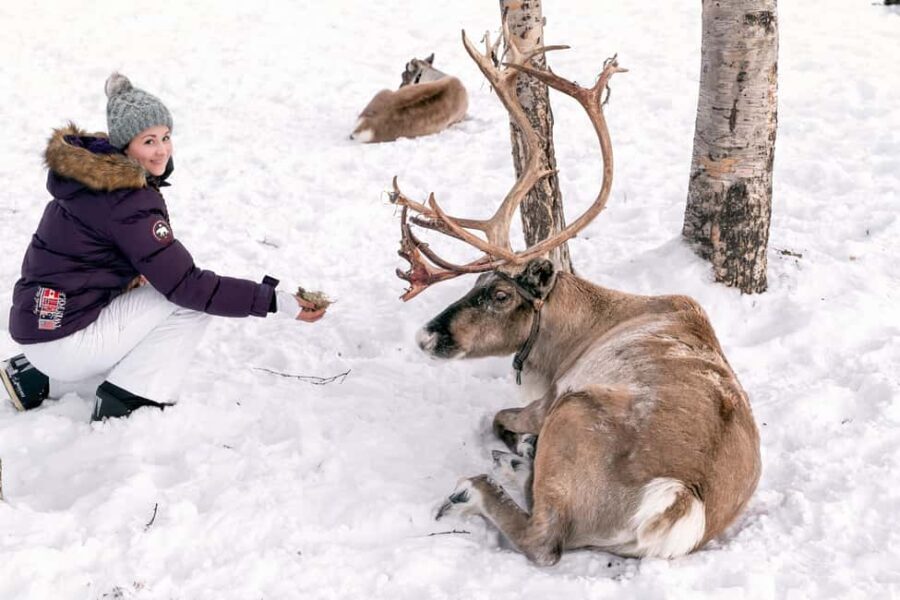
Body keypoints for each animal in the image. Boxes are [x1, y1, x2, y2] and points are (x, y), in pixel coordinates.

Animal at [388, 26, 761, 566]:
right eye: (474, 285)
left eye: (500, 294)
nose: (425, 335)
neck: (575, 334)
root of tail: (679, 501)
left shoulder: (548, 397)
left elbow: (498, 417)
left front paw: (518, 449)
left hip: (574, 413)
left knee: (541, 539)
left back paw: (477, 486)